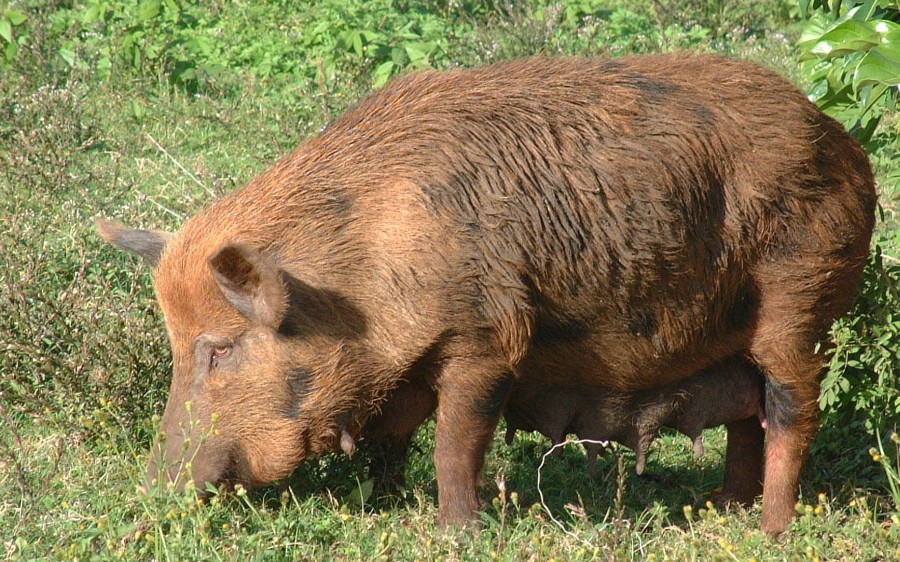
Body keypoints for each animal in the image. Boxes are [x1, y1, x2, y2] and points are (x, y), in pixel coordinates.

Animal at [96, 53, 872, 532]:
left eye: (219, 350)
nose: (152, 488)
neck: (364, 276)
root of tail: (845, 144)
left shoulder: (488, 335)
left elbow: (455, 438)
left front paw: (454, 531)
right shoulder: (404, 365)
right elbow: (394, 439)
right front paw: (383, 503)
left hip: (800, 303)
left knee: (792, 414)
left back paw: (770, 531)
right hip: (740, 338)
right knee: (747, 417)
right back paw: (722, 508)